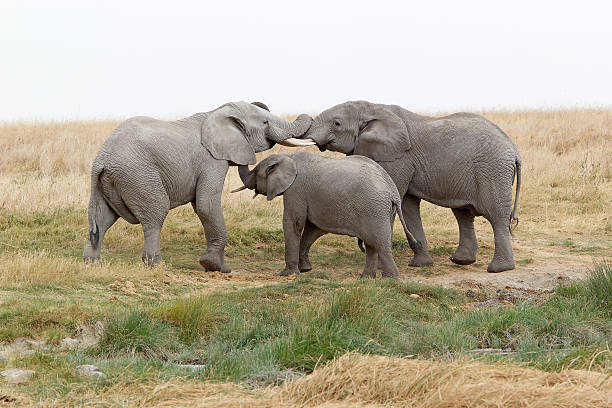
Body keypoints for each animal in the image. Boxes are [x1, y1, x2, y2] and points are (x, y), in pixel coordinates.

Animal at [81, 100, 316, 270]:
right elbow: (205, 205)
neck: (217, 112)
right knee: (154, 216)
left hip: (109, 181)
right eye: (265, 123)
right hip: (138, 176)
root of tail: (100, 160)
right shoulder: (211, 161)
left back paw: (92, 264)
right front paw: (216, 267)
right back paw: (158, 267)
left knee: (102, 220)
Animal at [230, 151, 420, 278]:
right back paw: (366, 279)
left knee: (380, 243)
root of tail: (393, 192)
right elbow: (313, 229)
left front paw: (287, 274)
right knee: (372, 244)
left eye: (255, 172)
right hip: (382, 211)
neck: (288, 157)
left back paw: (389, 279)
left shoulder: (296, 190)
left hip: (374, 208)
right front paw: (305, 270)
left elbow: (294, 223)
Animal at [296, 101, 520, 274]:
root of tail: (514, 150)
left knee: (495, 215)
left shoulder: (397, 158)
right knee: (463, 213)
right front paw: (421, 264)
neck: (372, 107)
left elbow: (397, 201)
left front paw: (380, 267)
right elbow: (408, 205)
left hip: (493, 171)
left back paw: (499, 269)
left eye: (336, 123)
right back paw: (462, 261)